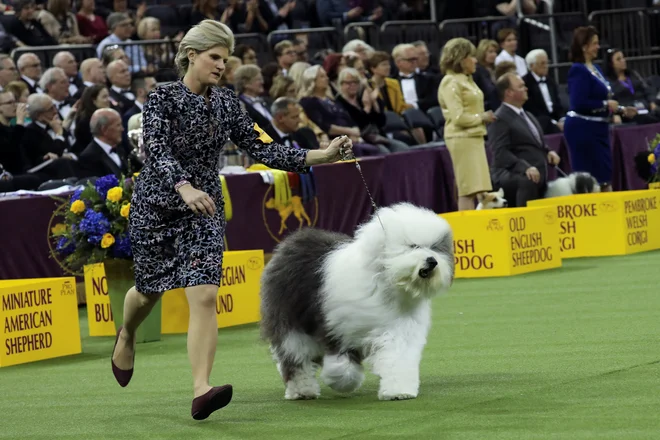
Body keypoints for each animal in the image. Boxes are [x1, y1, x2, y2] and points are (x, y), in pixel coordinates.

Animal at [258, 204, 454, 402]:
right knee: (295, 358)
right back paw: (302, 390)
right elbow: (342, 363)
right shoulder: (339, 327)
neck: (386, 284)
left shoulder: (399, 330)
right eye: (413, 246)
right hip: (290, 322)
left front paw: (399, 391)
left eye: (435, 248)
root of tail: (289, 244)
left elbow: (398, 359)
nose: (432, 261)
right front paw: (342, 381)